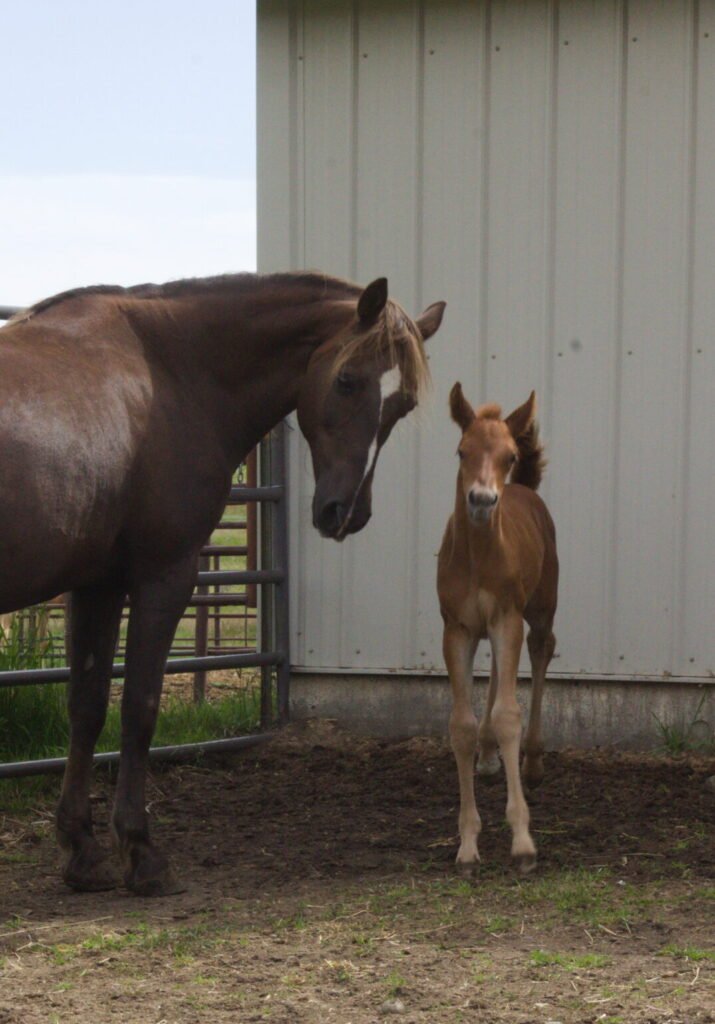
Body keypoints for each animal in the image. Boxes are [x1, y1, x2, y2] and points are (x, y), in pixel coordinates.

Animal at [0, 271, 445, 895]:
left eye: (402, 404)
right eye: (347, 380)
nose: (346, 513)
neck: (166, 373)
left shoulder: (99, 585)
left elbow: (87, 706)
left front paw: (83, 851)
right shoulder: (165, 575)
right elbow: (139, 705)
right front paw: (141, 851)